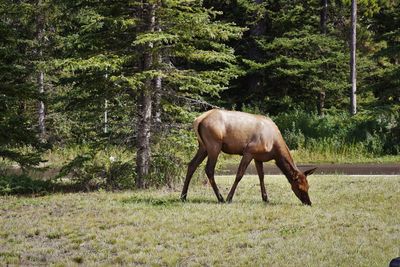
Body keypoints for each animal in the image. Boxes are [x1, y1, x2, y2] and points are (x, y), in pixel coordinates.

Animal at [180, 110, 316, 206]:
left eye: (308, 186)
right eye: (299, 187)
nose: (309, 202)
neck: (274, 148)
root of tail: (198, 120)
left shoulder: (258, 157)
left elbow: (261, 176)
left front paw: (265, 198)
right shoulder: (249, 151)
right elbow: (239, 174)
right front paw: (229, 198)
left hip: (203, 146)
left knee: (192, 165)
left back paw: (183, 196)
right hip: (214, 145)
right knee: (209, 169)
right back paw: (221, 198)